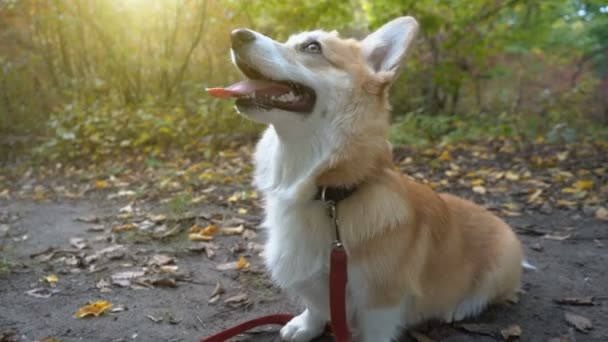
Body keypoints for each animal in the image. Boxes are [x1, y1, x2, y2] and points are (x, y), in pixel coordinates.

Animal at [208, 16, 524, 342]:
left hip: (504, 260)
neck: (331, 195)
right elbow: (316, 306)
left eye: (312, 47)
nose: (235, 34)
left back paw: (459, 308)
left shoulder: (380, 303)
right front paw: (305, 325)